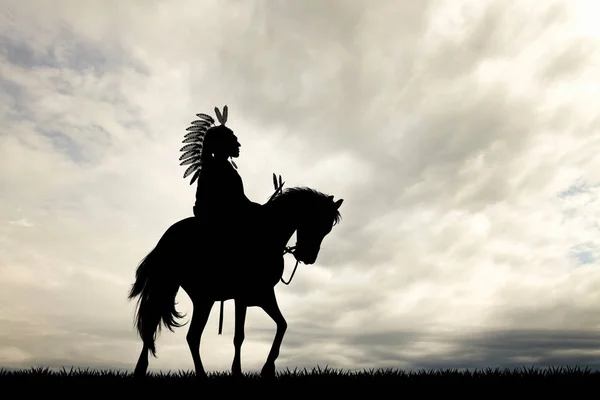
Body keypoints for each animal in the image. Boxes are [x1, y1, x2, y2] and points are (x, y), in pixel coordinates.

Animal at [126, 187, 342, 378]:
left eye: (327, 229)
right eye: (316, 221)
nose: (308, 257)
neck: (266, 236)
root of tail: (167, 237)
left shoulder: (264, 295)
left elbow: (282, 325)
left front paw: (268, 368)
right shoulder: (242, 297)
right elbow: (239, 336)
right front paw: (237, 372)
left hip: (202, 299)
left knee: (189, 336)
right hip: (172, 289)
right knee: (159, 327)